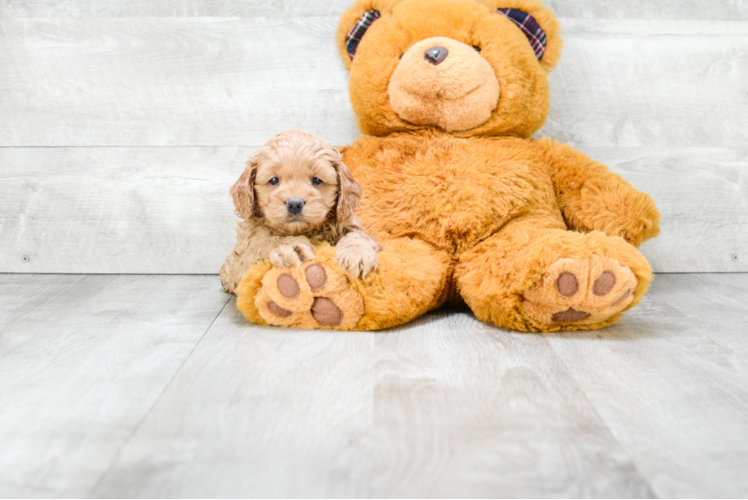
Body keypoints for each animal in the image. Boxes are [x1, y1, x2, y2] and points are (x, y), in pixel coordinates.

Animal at [218, 129, 380, 294]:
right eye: (274, 180)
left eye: (316, 180)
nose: (294, 204)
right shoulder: (238, 266)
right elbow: (264, 243)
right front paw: (290, 246)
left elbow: (357, 235)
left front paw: (357, 254)